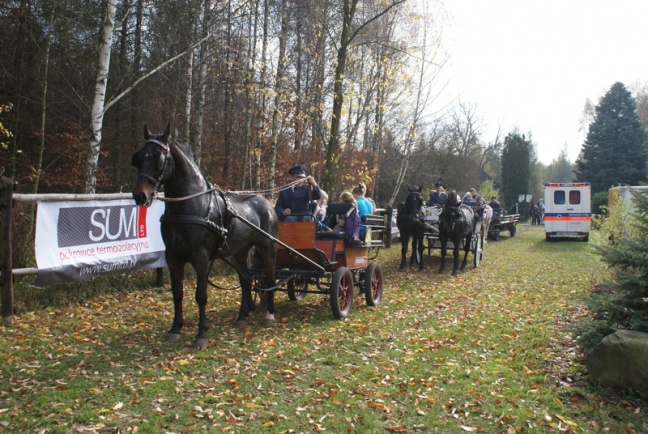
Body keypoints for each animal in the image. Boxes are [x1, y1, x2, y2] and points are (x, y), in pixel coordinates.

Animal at [132, 124, 278, 348]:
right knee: (245, 280)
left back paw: (269, 314)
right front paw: (175, 328)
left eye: (158, 158)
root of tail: (267, 203)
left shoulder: (201, 257)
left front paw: (201, 334)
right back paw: (242, 317)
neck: (190, 207)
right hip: (240, 250)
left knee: (270, 278)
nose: (140, 195)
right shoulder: (172, 256)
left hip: (267, 247)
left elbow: (201, 295)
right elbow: (177, 293)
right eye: (139, 157)